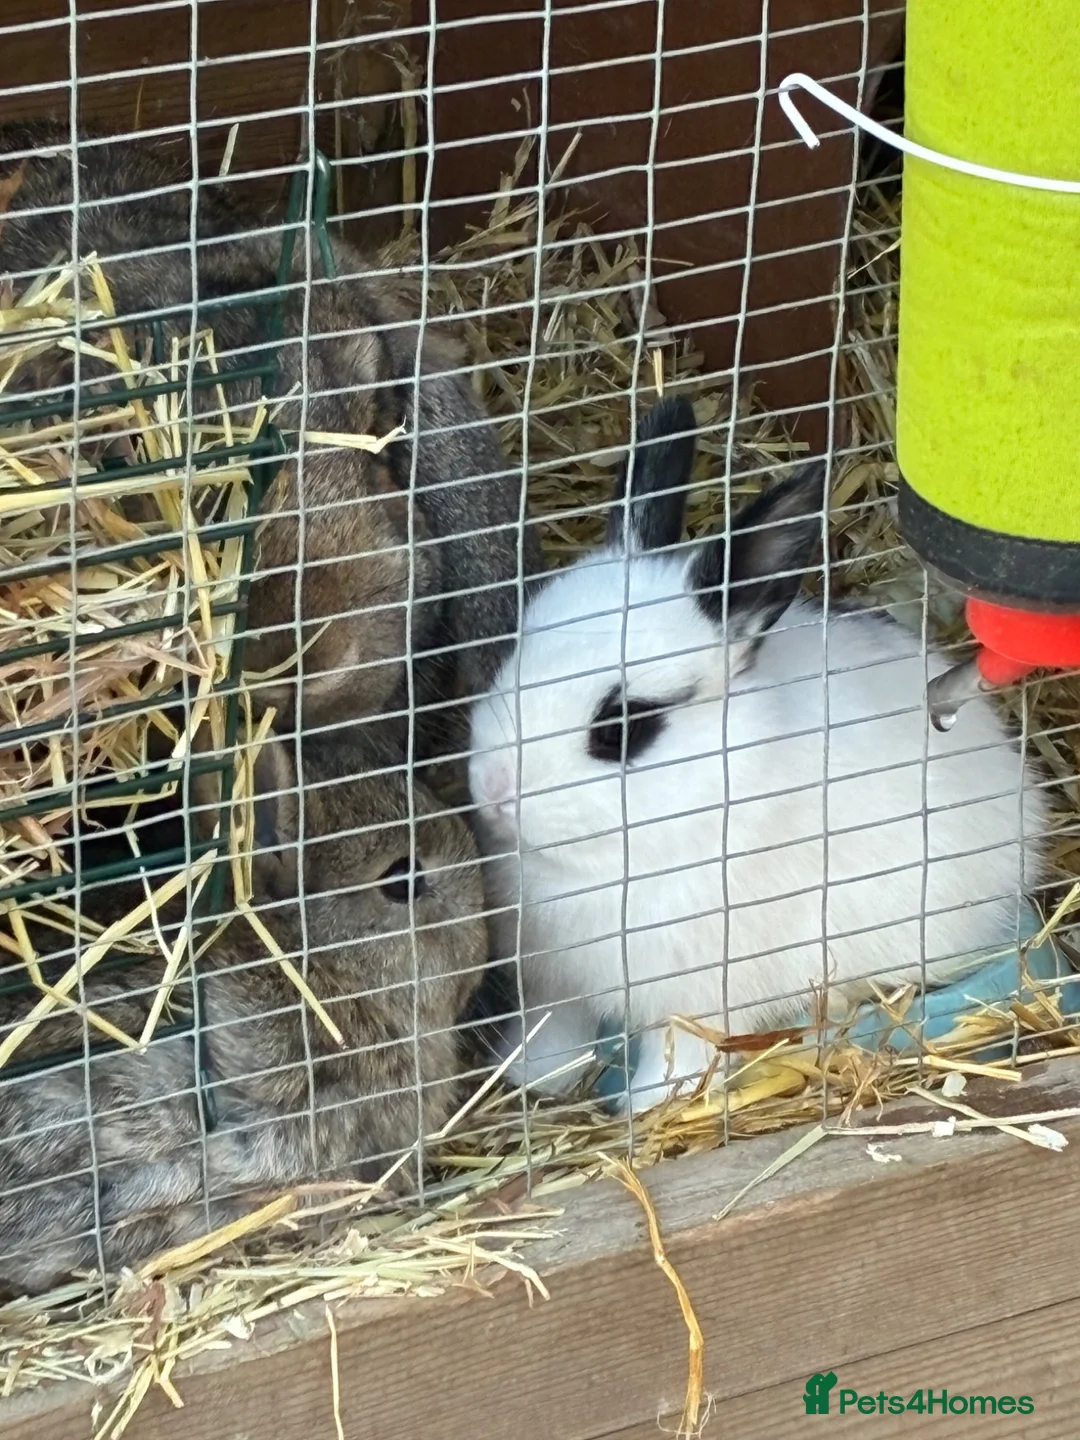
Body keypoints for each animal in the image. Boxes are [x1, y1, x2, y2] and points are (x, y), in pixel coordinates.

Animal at [467, 396, 1052, 1115]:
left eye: (623, 728)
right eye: (513, 653)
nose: (492, 786)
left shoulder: (697, 999)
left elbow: (681, 1058)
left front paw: (643, 1108)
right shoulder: (554, 981)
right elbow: (556, 1033)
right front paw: (531, 1077)